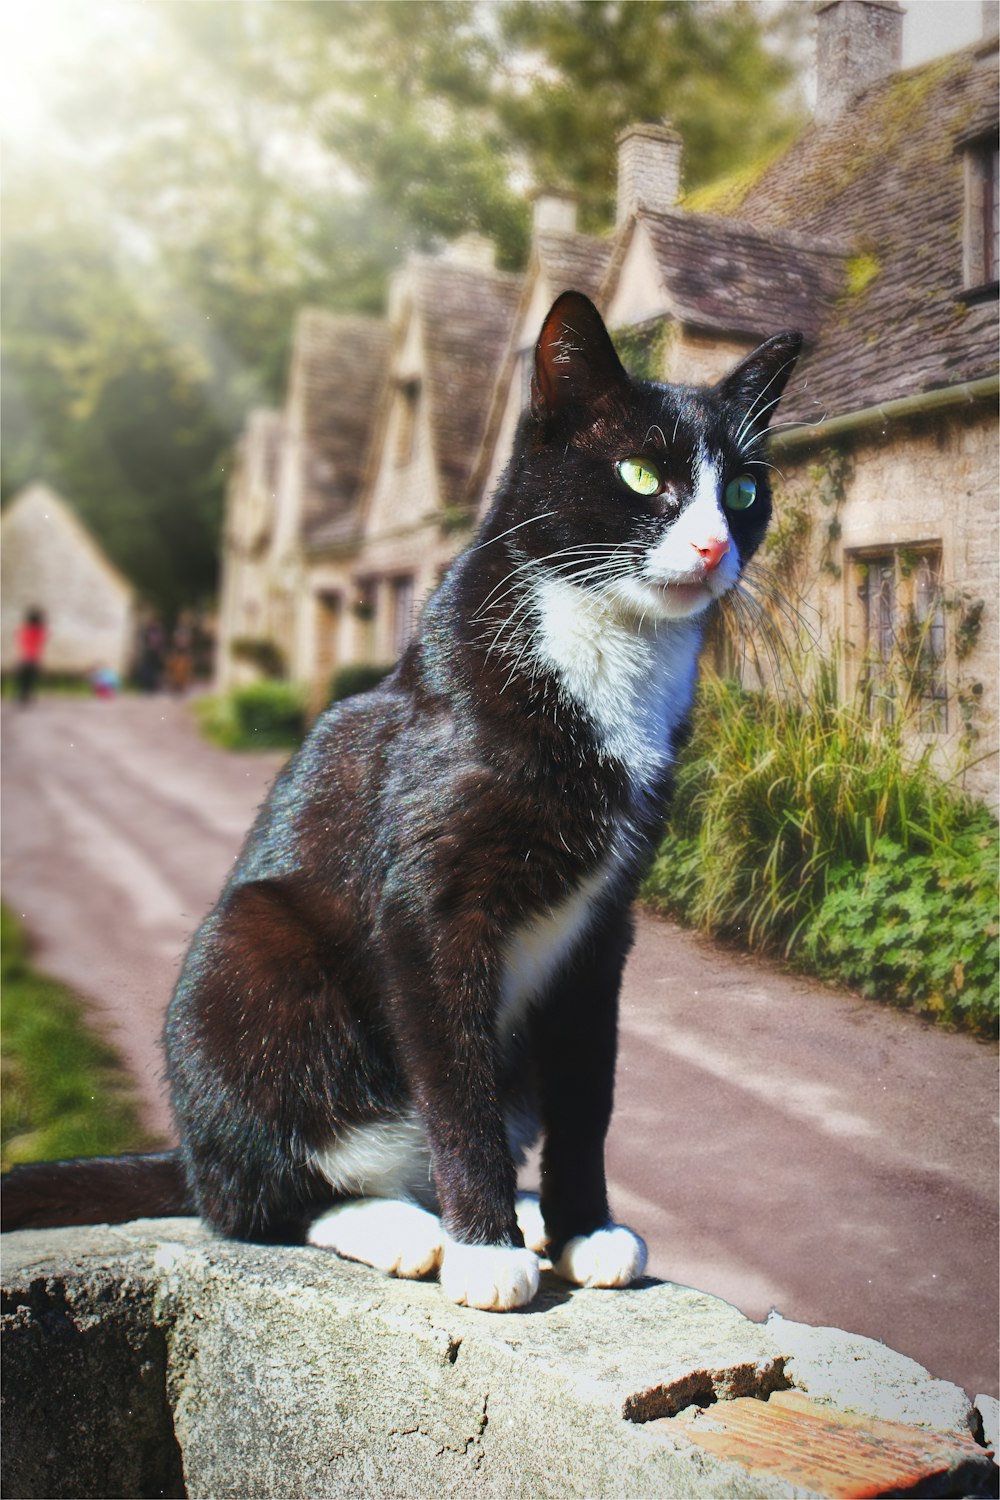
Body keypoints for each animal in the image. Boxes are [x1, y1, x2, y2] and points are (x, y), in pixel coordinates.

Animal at [0, 292, 797, 1314]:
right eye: (640, 473)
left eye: (742, 492)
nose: (712, 545)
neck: (602, 658)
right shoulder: (429, 907)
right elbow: (454, 1086)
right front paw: (487, 1251)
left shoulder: (602, 926)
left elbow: (588, 1091)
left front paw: (584, 1226)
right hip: (247, 959)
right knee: (256, 1199)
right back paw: (411, 1227)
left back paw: (518, 1212)